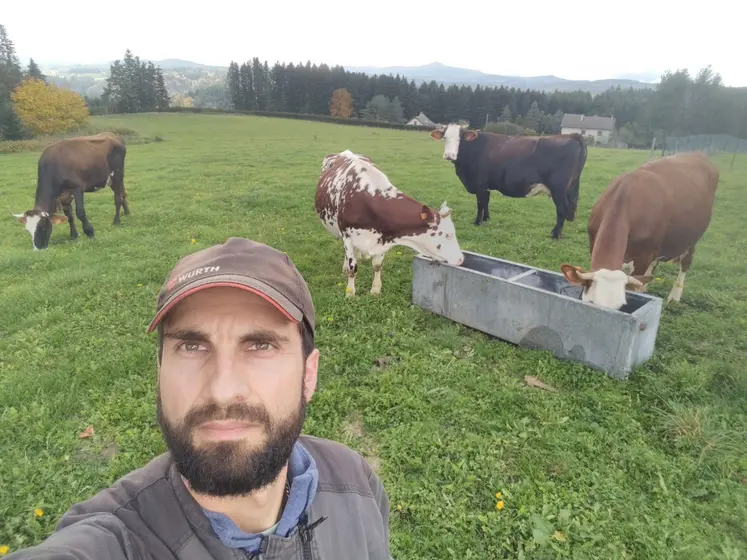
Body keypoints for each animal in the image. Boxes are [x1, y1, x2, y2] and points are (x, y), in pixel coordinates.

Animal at [312, 149, 464, 298]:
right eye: (448, 235)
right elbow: (352, 267)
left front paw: (375, 290)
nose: (461, 259)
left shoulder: (384, 238)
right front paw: (350, 293)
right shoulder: (348, 236)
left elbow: (377, 265)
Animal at [430, 124, 588, 238]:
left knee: (561, 209)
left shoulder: (479, 184)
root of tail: (572, 135)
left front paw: (477, 222)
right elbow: (486, 202)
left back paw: (555, 234)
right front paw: (486, 219)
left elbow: (480, 203)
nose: (449, 155)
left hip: (558, 189)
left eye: (460, 139)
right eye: (445, 137)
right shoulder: (486, 186)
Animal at [560, 152, 720, 310]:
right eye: (591, 302)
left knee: (686, 261)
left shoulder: (643, 257)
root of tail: (699, 154)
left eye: (620, 307)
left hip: (694, 236)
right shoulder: (593, 242)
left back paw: (675, 296)